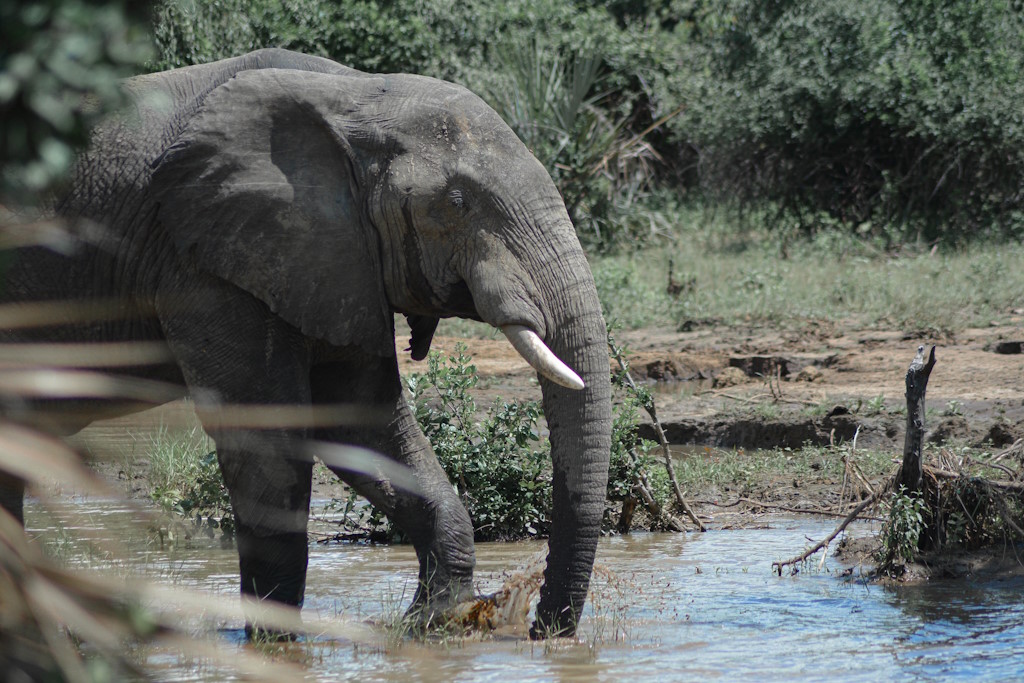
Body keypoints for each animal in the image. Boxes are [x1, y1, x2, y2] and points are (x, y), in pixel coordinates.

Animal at [0, 49, 606, 643]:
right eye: (457, 202)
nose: (543, 629)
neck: (357, 96)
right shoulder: (207, 263)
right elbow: (266, 436)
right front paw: (274, 644)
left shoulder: (336, 259)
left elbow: (361, 421)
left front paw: (437, 621)